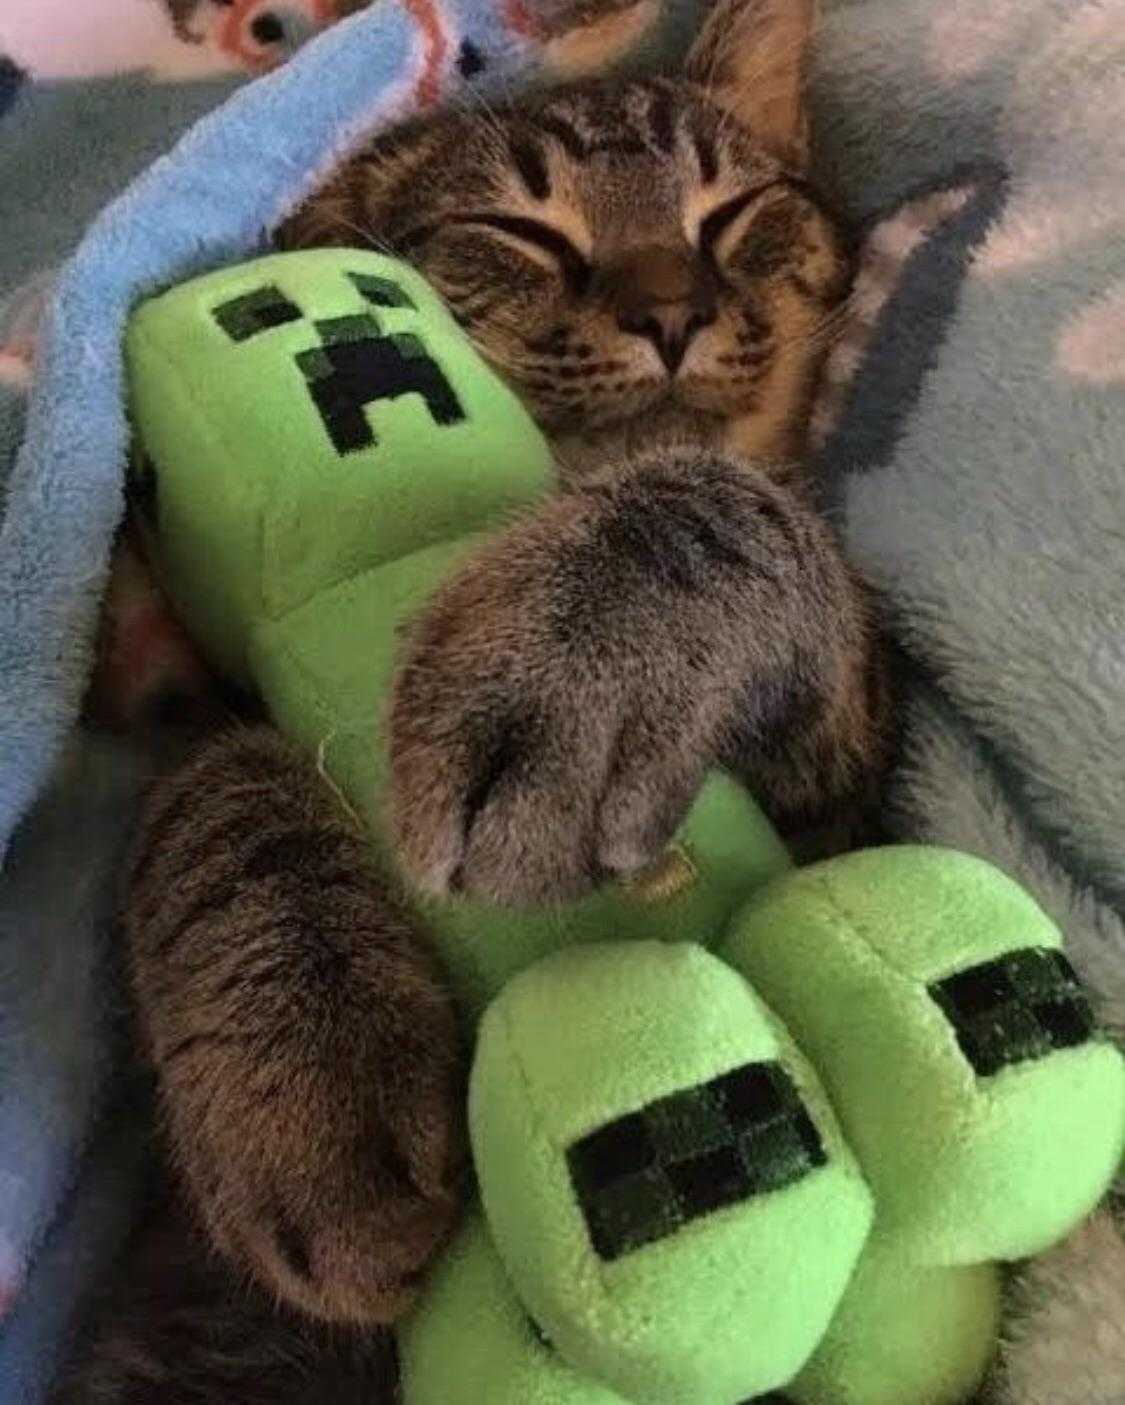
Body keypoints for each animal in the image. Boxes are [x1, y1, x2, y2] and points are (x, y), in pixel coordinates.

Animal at [54, 5, 887, 1399]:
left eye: (730, 213)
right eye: (517, 230)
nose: (673, 307)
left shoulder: (843, 772)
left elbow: (725, 509)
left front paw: (573, 649)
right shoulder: (197, 726)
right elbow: (217, 792)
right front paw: (313, 1073)